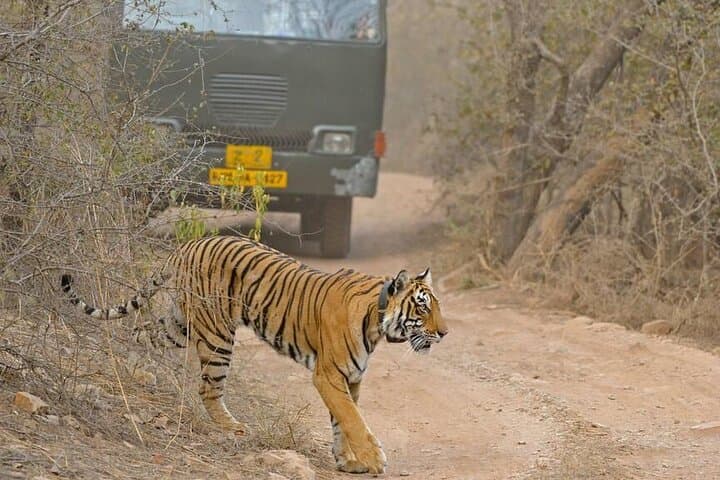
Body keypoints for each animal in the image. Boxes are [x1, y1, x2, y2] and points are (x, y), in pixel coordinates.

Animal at [60, 234, 447, 474]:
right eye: (423, 308)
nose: (444, 333)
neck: (376, 322)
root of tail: (187, 244)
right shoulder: (328, 375)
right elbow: (353, 420)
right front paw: (374, 459)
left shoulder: (350, 378)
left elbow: (342, 422)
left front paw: (348, 462)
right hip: (216, 333)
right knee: (208, 388)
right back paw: (234, 427)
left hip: (180, 323)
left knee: (140, 333)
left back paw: (130, 367)